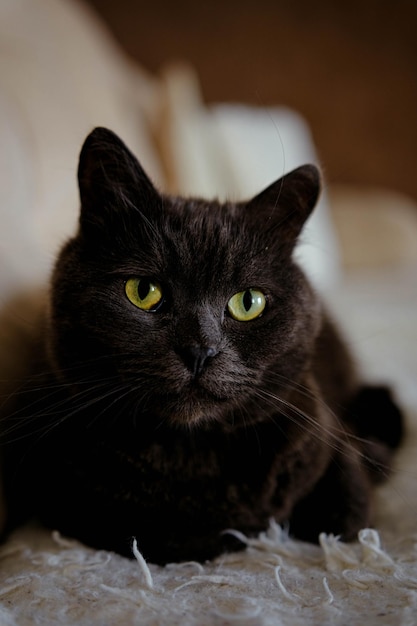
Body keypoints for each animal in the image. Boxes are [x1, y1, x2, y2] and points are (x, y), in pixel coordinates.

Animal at [0, 127, 404, 560]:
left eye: (248, 302)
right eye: (143, 291)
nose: (199, 350)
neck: (190, 455)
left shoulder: (317, 425)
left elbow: (349, 514)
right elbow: (156, 532)